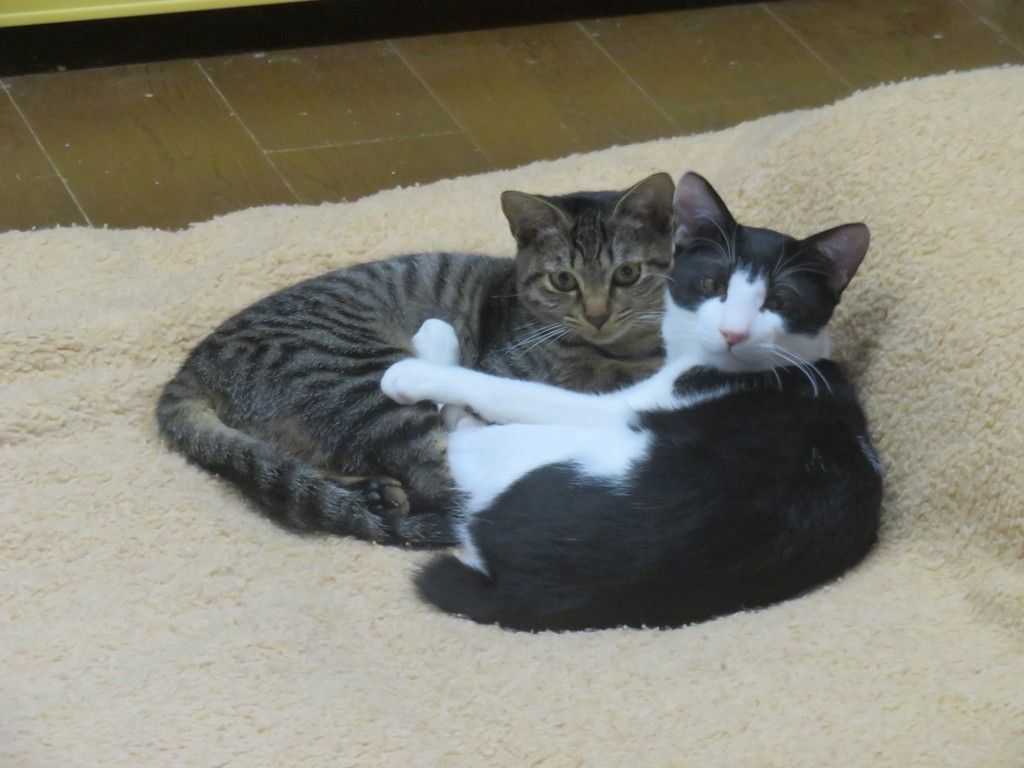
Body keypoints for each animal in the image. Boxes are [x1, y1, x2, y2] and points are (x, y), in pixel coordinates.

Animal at [156, 173, 675, 546]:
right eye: (563, 280)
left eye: (627, 274)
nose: (598, 315)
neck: (612, 355)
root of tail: (193, 365)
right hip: (365, 380)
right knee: (444, 482)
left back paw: (373, 494)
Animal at [380, 172, 883, 631]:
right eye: (711, 283)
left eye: (779, 300)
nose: (733, 332)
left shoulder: (618, 402)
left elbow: (510, 390)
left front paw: (413, 373)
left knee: (455, 435)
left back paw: (432, 345)